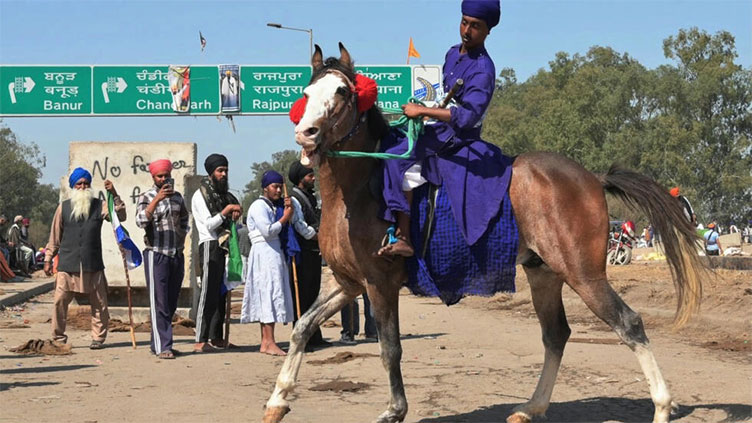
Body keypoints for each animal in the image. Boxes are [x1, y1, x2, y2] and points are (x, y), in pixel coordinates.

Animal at [262, 44, 704, 423]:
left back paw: (662, 407)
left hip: (583, 273)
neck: (357, 188)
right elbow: (302, 328)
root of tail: (592, 178)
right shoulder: (348, 283)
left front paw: (394, 410)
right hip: (544, 273)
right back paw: (531, 407)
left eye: (341, 91)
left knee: (629, 323)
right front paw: (277, 401)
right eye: (306, 92)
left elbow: (390, 348)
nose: (306, 133)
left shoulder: (379, 282)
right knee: (556, 334)